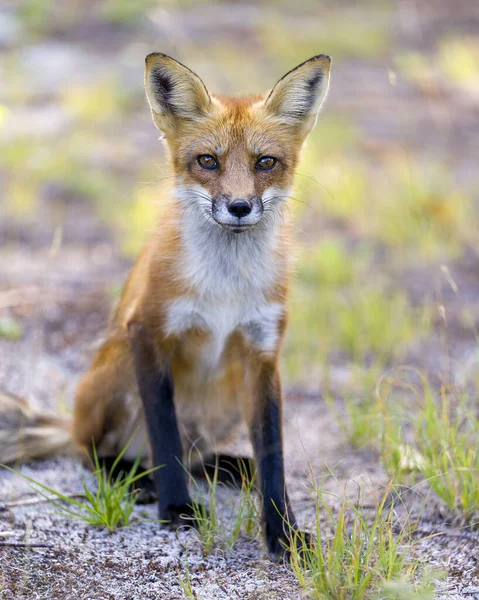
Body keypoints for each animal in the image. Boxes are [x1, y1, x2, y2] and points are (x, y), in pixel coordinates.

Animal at [0, 54, 330, 560]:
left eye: (266, 162)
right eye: (207, 160)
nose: (239, 206)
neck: (224, 287)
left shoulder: (263, 353)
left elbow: (273, 455)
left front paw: (282, 531)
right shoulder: (148, 330)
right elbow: (164, 434)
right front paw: (176, 509)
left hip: (226, 399)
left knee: (201, 458)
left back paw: (230, 468)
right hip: (115, 371)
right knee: (91, 452)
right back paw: (133, 478)